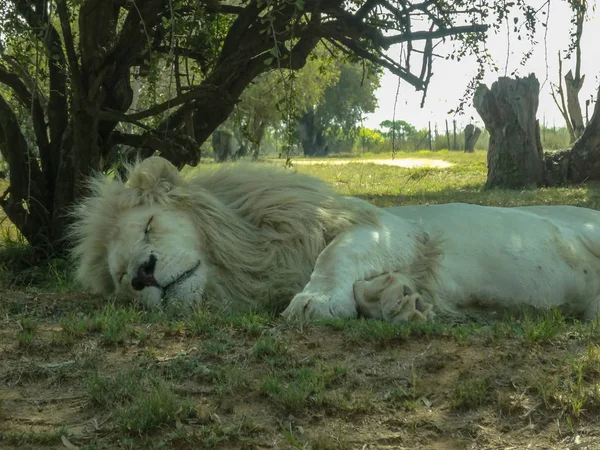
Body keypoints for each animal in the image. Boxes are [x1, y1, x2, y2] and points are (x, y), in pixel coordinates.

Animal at [70, 156, 600, 322]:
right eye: (122, 279)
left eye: (148, 225)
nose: (143, 276)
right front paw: (396, 301)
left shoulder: (395, 229)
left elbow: (335, 252)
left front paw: (315, 302)